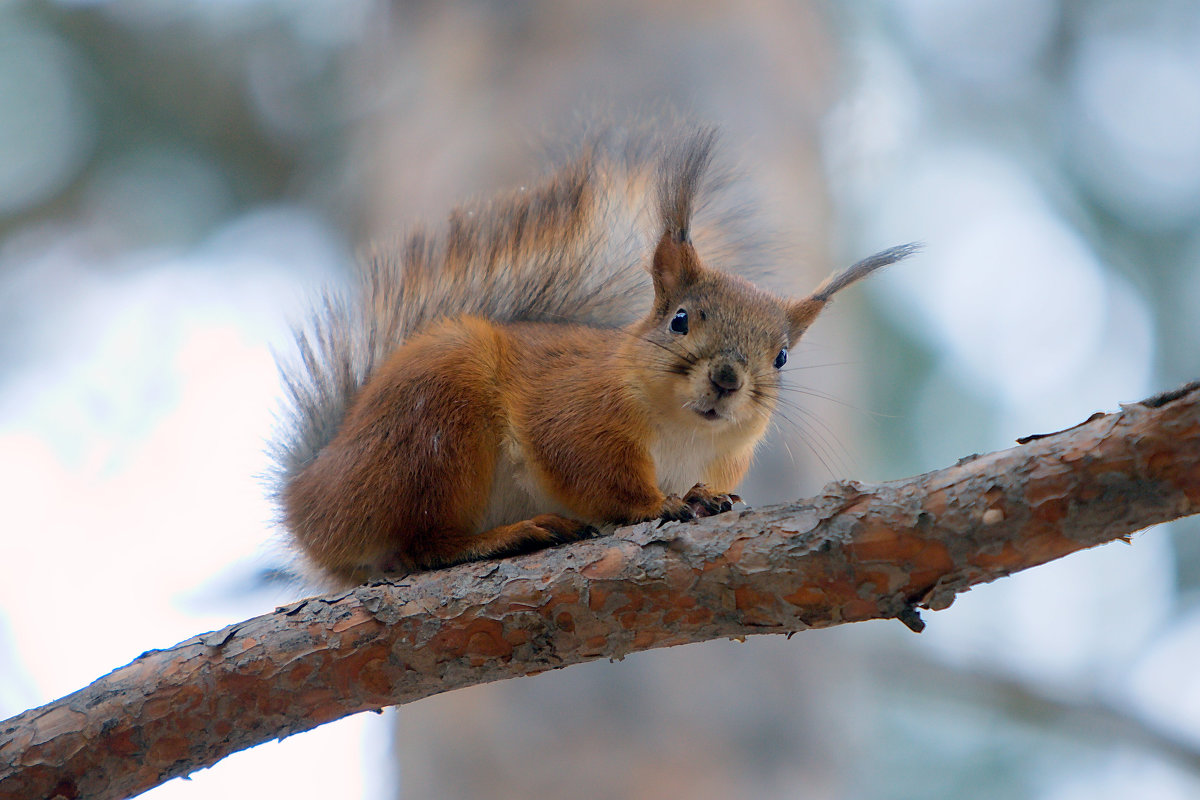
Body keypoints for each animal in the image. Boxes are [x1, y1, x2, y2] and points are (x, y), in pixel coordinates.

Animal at [267, 126, 912, 587]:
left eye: (780, 358)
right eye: (680, 319)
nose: (728, 378)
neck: (683, 433)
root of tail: (309, 502)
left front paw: (707, 497)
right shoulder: (574, 413)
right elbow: (594, 473)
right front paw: (663, 503)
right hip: (434, 430)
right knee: (419, 545)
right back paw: (508, 536)